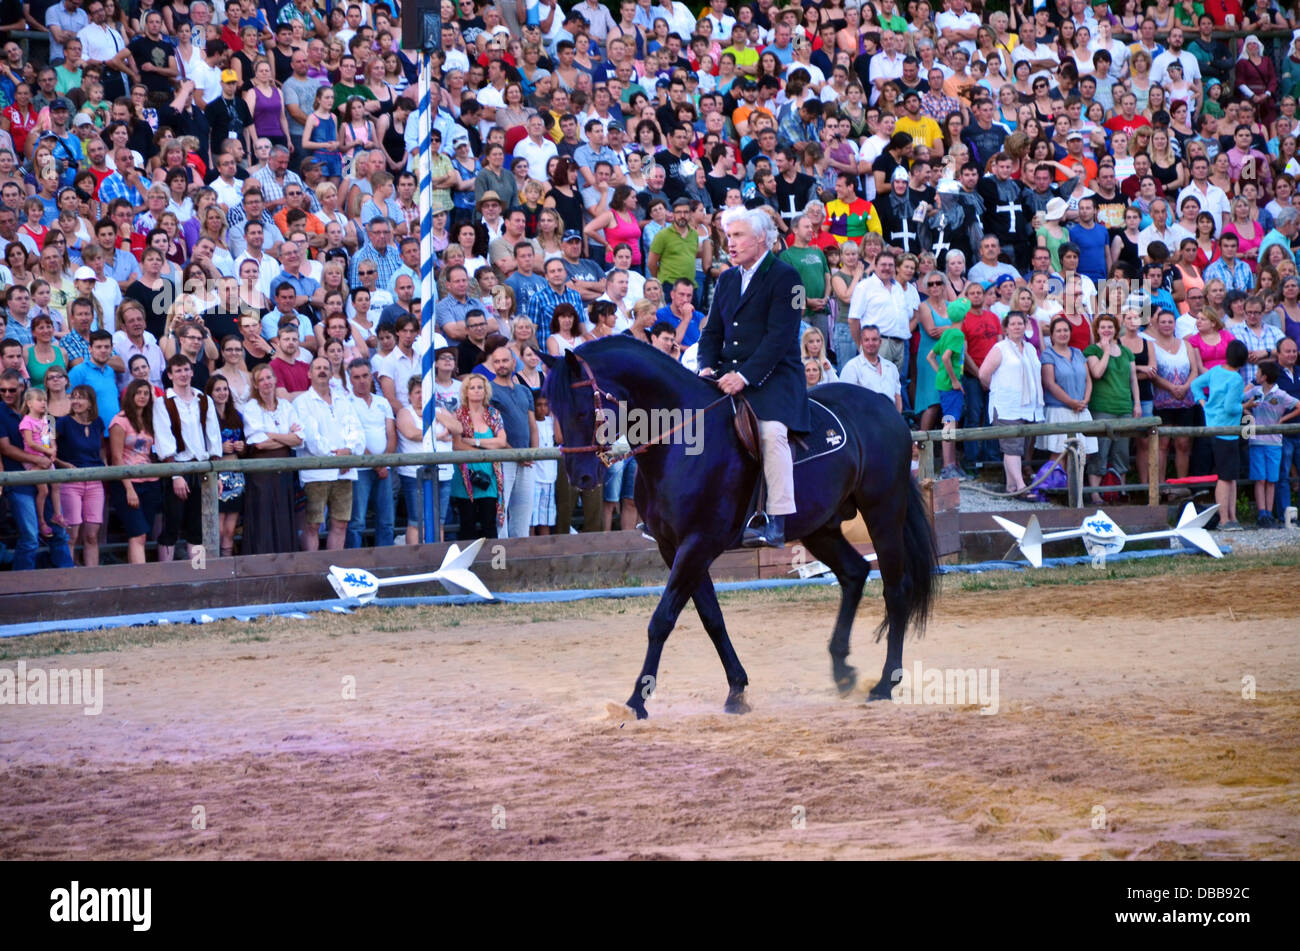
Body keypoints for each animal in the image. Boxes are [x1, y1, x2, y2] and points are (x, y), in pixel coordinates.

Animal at [538, 337, 935, 717]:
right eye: (553, 411)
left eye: (583, 410)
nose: (581, 477)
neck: (683, 439)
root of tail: (885, 406)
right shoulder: (676, 547)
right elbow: (712, 618)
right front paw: (737, 690)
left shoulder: (698, 543)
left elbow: (662, 619)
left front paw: (637, 700)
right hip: (820, 527)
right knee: (854, 573)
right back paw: (842, 671)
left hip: (883, 512)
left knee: (895, 590)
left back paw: (884, 684)